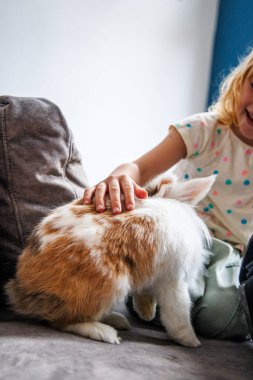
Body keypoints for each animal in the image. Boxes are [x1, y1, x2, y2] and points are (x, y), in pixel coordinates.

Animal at [4, 174, 214, 348]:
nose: (146, 315)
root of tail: (22, 293)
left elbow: (145, 295)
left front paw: (147, 313)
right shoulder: (174, 280)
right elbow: (178, 312)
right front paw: (191, 341)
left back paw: (117, 320)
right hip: (111, 283)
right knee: (62, 320)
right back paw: (105, 332)